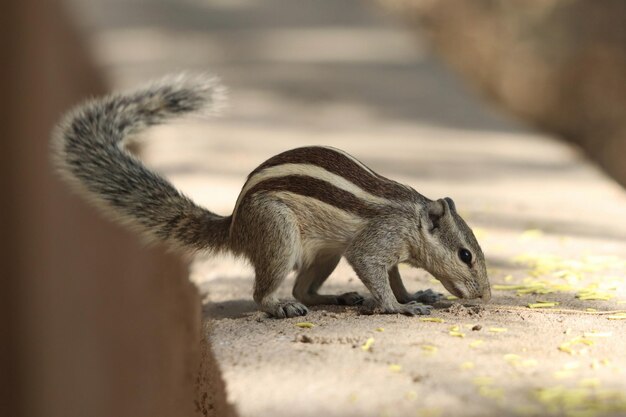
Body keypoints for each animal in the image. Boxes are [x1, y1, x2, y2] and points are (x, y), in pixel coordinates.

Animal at [51, 73, 490, 316]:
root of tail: (234, 228)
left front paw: (414, 292)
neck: (410, 217)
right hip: (277, 234)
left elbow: (393, 276)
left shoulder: (391, 251)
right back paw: (280, 306)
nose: (486, 296)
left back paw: (338, 298)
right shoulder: (377, 240)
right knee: (267, 292)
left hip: (325, 254)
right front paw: (399, 307)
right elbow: (373, 271)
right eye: (465, 255)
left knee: (303, 288)